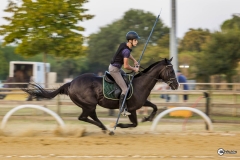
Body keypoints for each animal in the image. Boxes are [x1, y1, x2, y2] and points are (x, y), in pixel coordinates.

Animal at [22, 57, 179, 134]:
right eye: (171, 71)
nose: (176, 85)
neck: (140, 83)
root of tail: (71, 83)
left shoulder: (139, 104)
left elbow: (154, 107)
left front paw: (147, 118)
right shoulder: (131, 108)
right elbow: (134, 123)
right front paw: (118, 125)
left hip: (89, 106)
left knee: (88, 117)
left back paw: (104, 128)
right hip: (89, 105)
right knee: (83, 117)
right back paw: (106, 128)